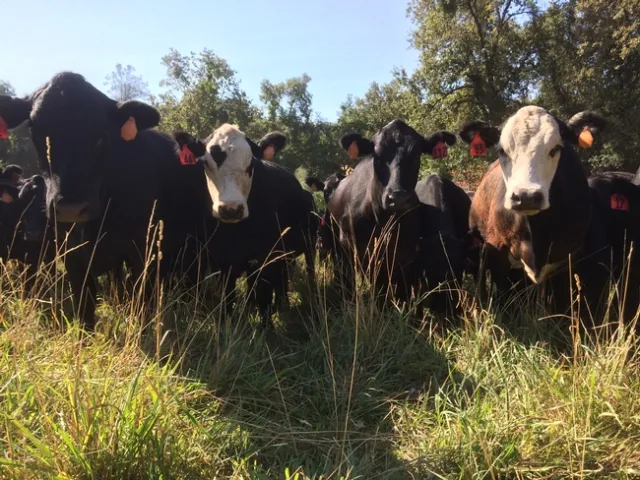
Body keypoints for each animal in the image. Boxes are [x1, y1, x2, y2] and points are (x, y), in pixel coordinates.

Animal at [326, 119, 457, 305]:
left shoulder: (406, 255)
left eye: (416, 155)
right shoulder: (357, 250)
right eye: (378, 156)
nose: (398, 197)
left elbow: (400, 290)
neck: (383, 220)